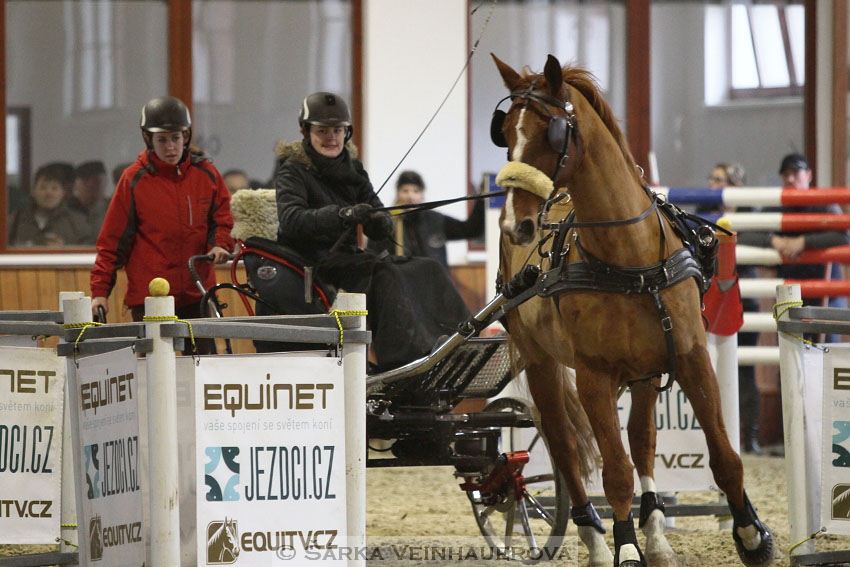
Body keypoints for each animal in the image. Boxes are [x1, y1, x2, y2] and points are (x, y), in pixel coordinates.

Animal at [486, 54, 772, 567]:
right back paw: (595, 538)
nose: (515, 224)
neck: (629, 258)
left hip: (644, 372)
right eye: (506, 133)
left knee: (641, 439)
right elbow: (614, 471)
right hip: (541, 362)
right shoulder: (594, 376)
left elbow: (723, 457)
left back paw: (655, 531)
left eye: (550, 133)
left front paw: (751, 534)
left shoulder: (692, 358)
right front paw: (623, 546)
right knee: (564, 445)